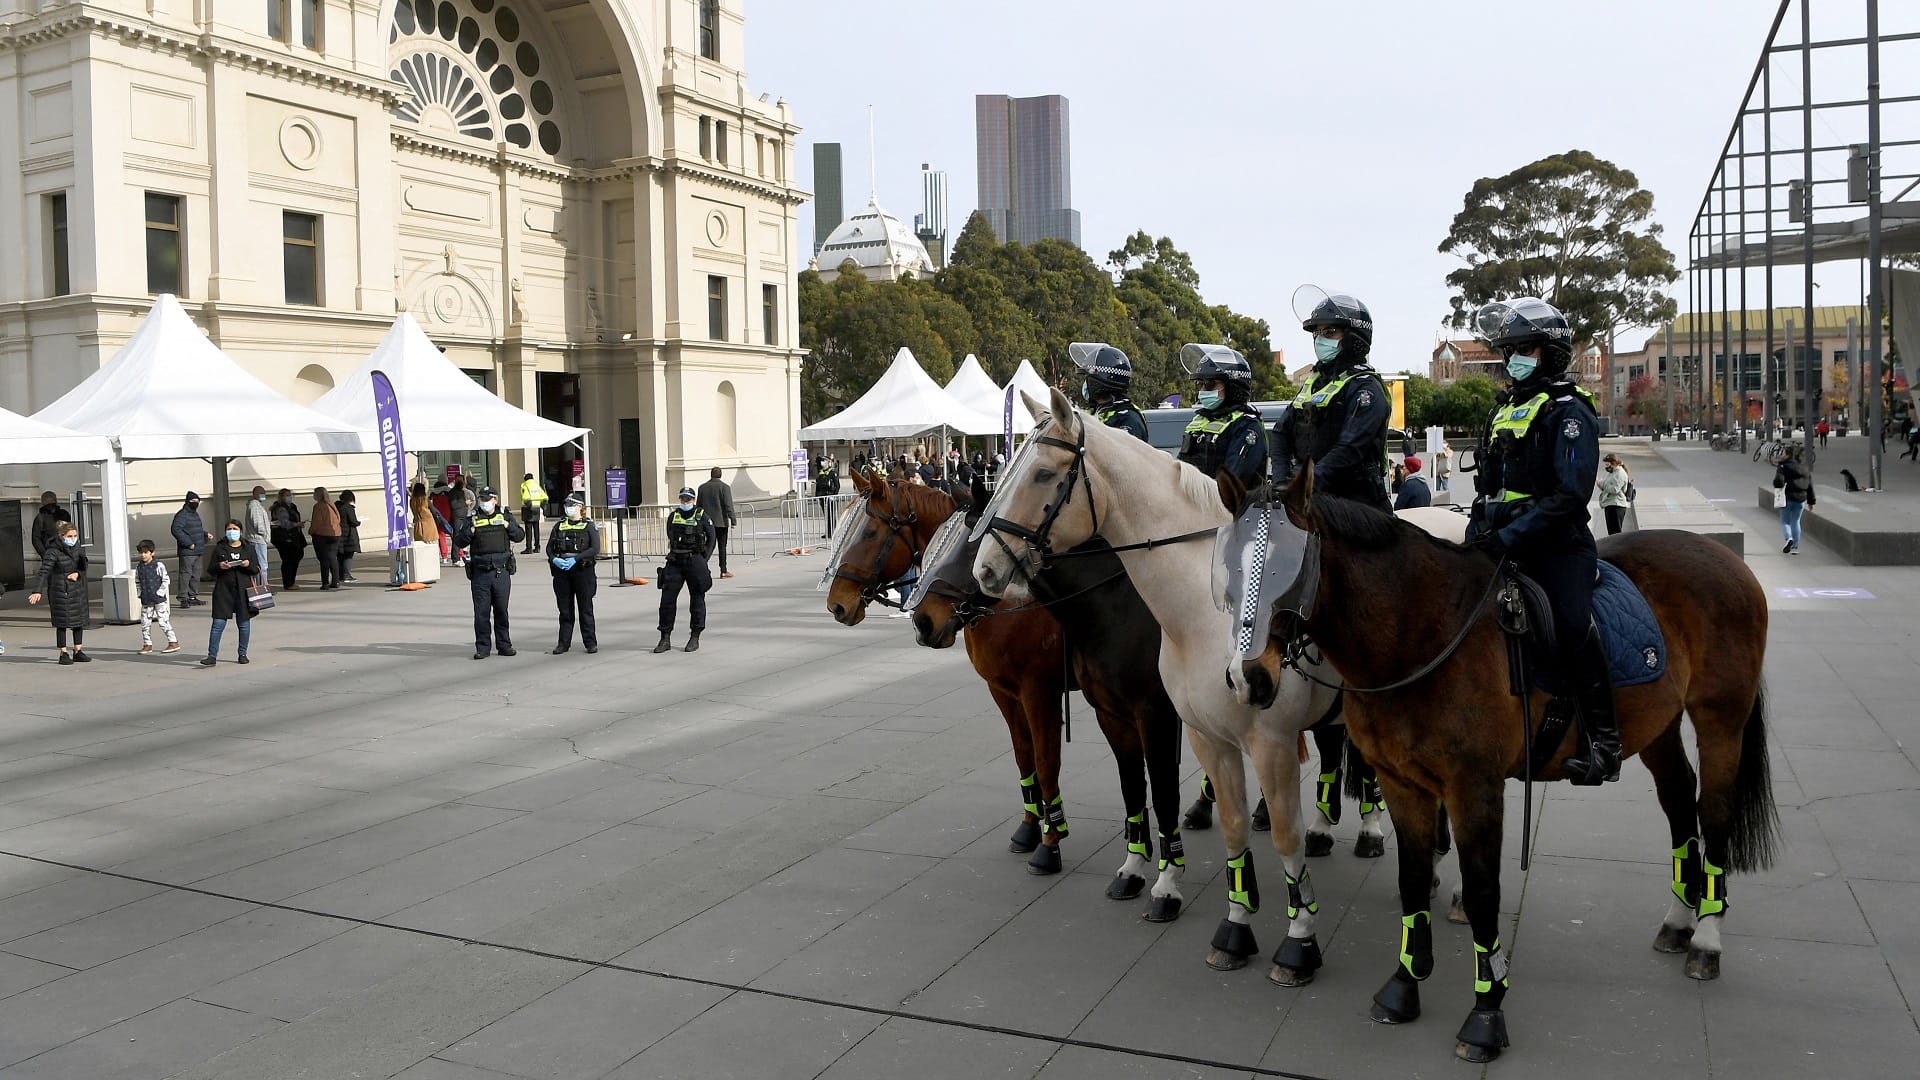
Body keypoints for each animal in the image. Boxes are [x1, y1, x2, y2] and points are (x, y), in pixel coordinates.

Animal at [825, 470, 1082, 876]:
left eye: (868, 534)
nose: (837, 604)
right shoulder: (1004, 693)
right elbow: (1024, 756)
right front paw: (1029, 828)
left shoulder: (1039, 692)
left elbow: (1045, 763)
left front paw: (1050, 843)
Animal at [1228, 468, 1781, 1060]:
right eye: (1227, 567)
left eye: (1286, 568)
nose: (1247, 678)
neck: (1419, 630)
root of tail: (1723, 556)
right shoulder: (1403, 783)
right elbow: (1411, 880)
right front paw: (1404, 986)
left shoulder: (1474, 787)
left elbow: (1483, 892)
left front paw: (1486, 1012)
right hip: (1656, 723)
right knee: (1680, 801)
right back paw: (1678, 922)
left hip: (1721, 719)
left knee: (1714, 814)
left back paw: (1707, 939)